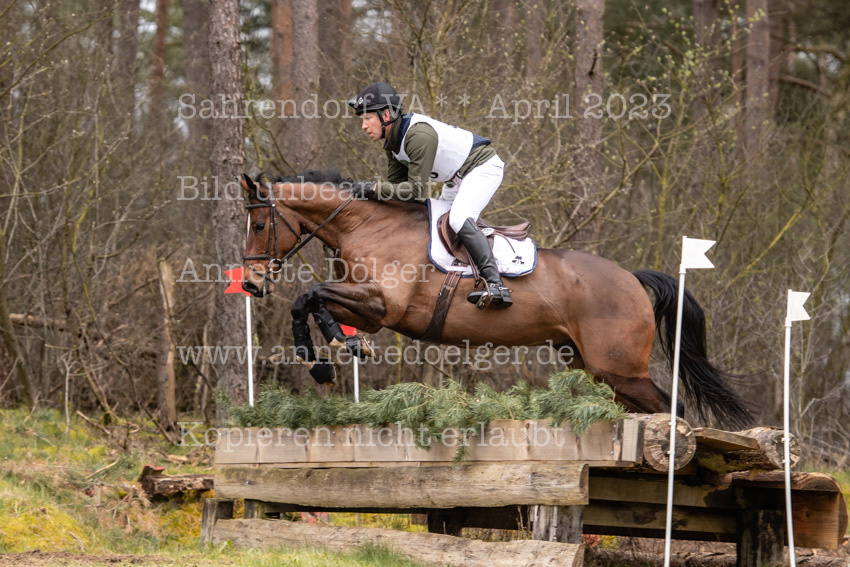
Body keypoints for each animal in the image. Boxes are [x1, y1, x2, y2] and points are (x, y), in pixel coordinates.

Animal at [239, 170, 753, 430]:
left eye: (260, 224)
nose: (250, 284)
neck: (367, 225)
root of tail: (631, 277)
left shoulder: (383, 305)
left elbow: (311, 295)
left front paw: (334, 350)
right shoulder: (369, 311)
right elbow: (309, 302)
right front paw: (324, 357)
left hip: (620, 368)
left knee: (672, 408)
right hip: (593, 366)